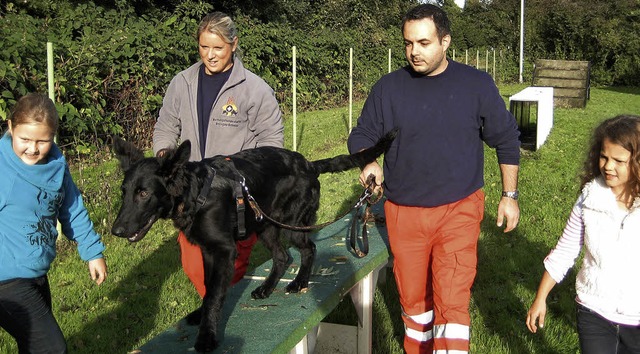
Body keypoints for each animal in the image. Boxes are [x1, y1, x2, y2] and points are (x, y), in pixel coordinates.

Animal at [112, 130, 398, 352]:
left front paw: (207, 336)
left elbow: (214, 294)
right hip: (265, 226)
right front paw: (200, 315)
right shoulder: (207, 250)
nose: (116, 231)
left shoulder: (224, 250)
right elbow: (207, 287)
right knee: (282, 256)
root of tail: (309, 164)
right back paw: (266, 288)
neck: (195, 192)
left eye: (144, 193)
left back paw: (299, 283)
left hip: (292, 225)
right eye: (124, 192)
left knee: (308, 249)